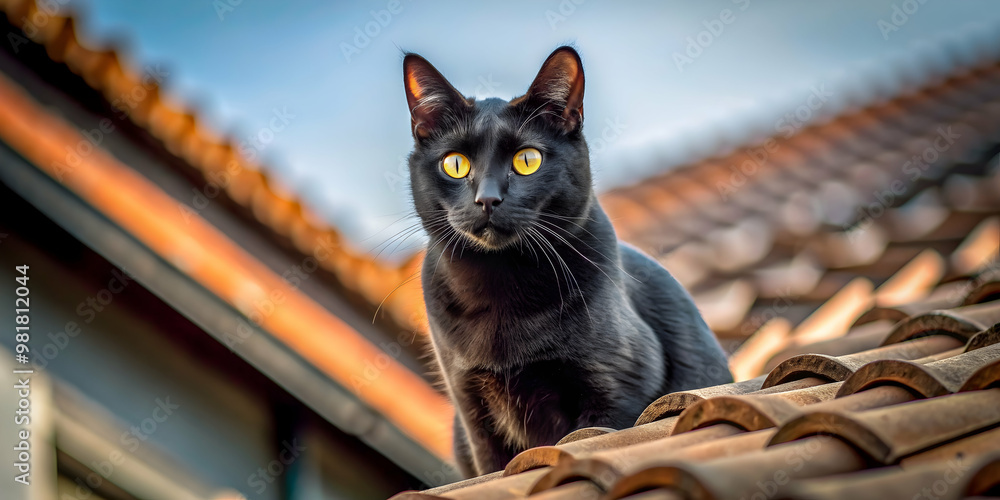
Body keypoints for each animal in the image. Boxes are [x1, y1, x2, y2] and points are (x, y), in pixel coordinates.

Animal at [400, 47, 736, 476]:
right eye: (455, 164)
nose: (487, 199)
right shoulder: (474, 413)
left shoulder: (621, 388)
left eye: (527, 160)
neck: (502, 287)